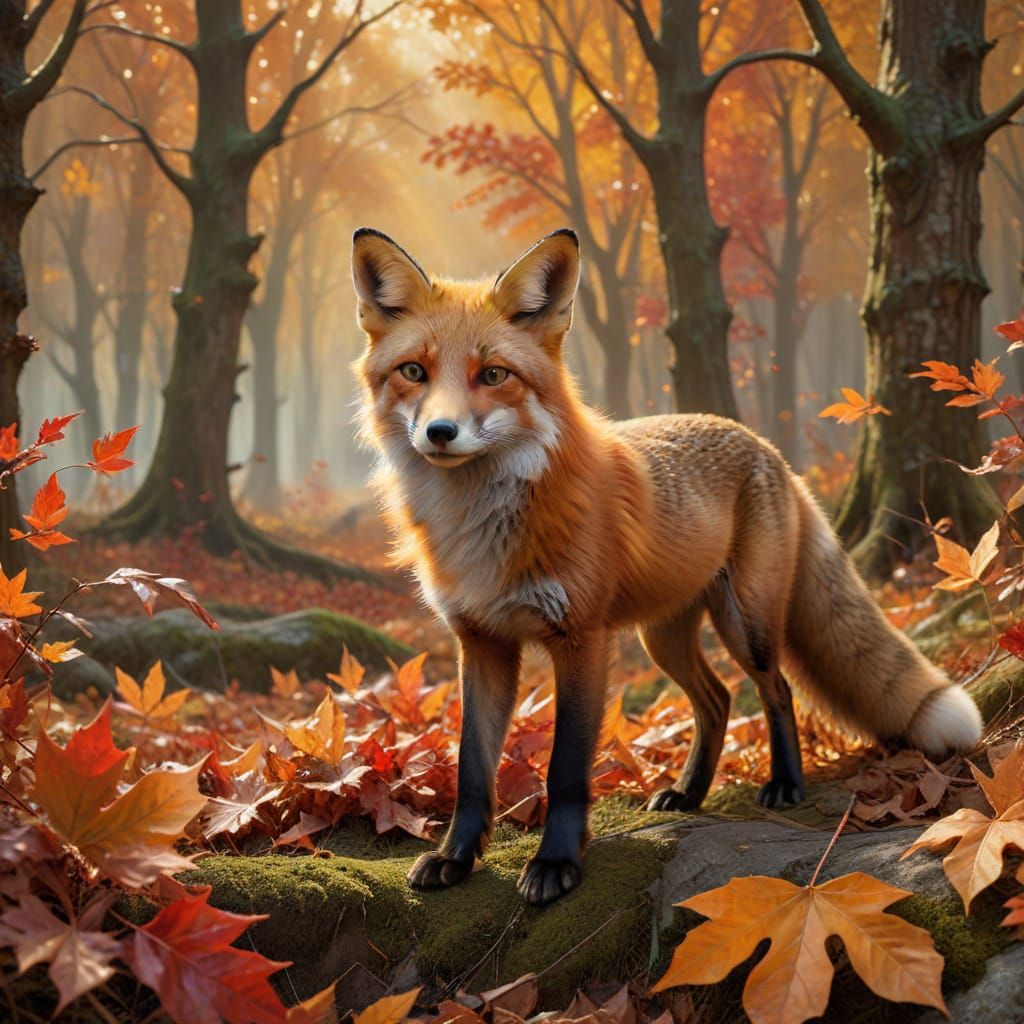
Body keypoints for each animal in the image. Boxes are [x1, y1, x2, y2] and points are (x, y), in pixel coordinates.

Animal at [352, 225, 983, 906]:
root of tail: (766, 446)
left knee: (776, 689)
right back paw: (688, 792)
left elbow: (566, 768)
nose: (440, 432)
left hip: (746, 624)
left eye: (493, 374)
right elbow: (472, 768)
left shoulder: (582, 639)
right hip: (664, 638)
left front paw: (556, 864)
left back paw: (785, 783)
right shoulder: (482, 643)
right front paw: (456, 858)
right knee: (717, 700)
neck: (482, 529)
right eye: (414, 371)